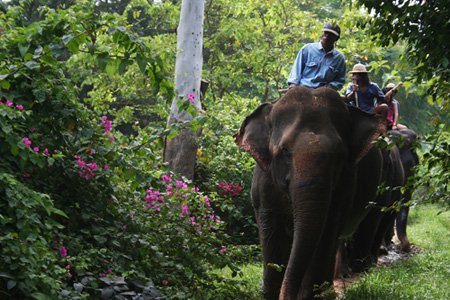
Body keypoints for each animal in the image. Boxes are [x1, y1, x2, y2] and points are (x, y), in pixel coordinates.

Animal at [236, 85, 390, 298]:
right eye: (284, 150)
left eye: (340, 155)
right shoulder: (263, 185)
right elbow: (271, 232)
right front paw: (269, 294)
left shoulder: (345, 186)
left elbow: (325, 232)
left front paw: (309, 294)